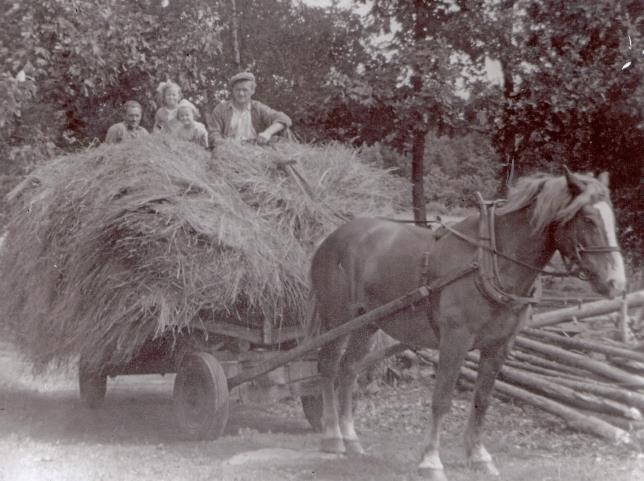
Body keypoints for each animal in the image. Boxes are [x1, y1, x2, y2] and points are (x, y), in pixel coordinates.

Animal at [310, 167, 628, 478]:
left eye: (612, 218)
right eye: (588, 219)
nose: (616, 283)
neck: (488, 261)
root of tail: (331, 238)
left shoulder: (499, 345)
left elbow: (482, 400)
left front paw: (478, 456)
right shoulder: (455, 340)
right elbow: (441, 399)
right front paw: (431, 461)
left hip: (367, 324)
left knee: (349, 370)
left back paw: (350, 437)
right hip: (337, 319)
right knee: (328, 368)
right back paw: (332, 437)